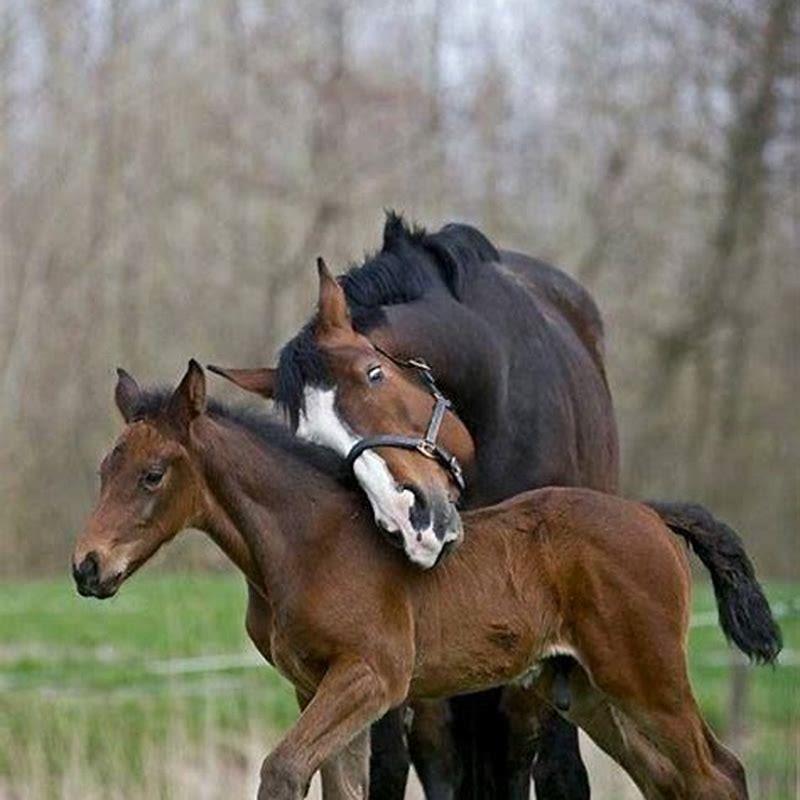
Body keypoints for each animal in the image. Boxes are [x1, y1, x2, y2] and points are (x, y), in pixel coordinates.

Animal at [72, 362, 781, 800]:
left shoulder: (372, 676)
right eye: (104, 470)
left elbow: (282, 770)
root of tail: (650, 513)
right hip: (588, 692)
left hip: (647, 677)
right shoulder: (317, 688)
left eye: (153, 475)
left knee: (719, 772)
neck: (307, 543)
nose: (87, 567)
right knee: (674, 780)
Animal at [211, 213, 620, 799]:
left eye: (374, 374)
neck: (496, 382)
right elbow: (384, 765)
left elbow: (541, 765)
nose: (411, 522)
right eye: (313, 443)